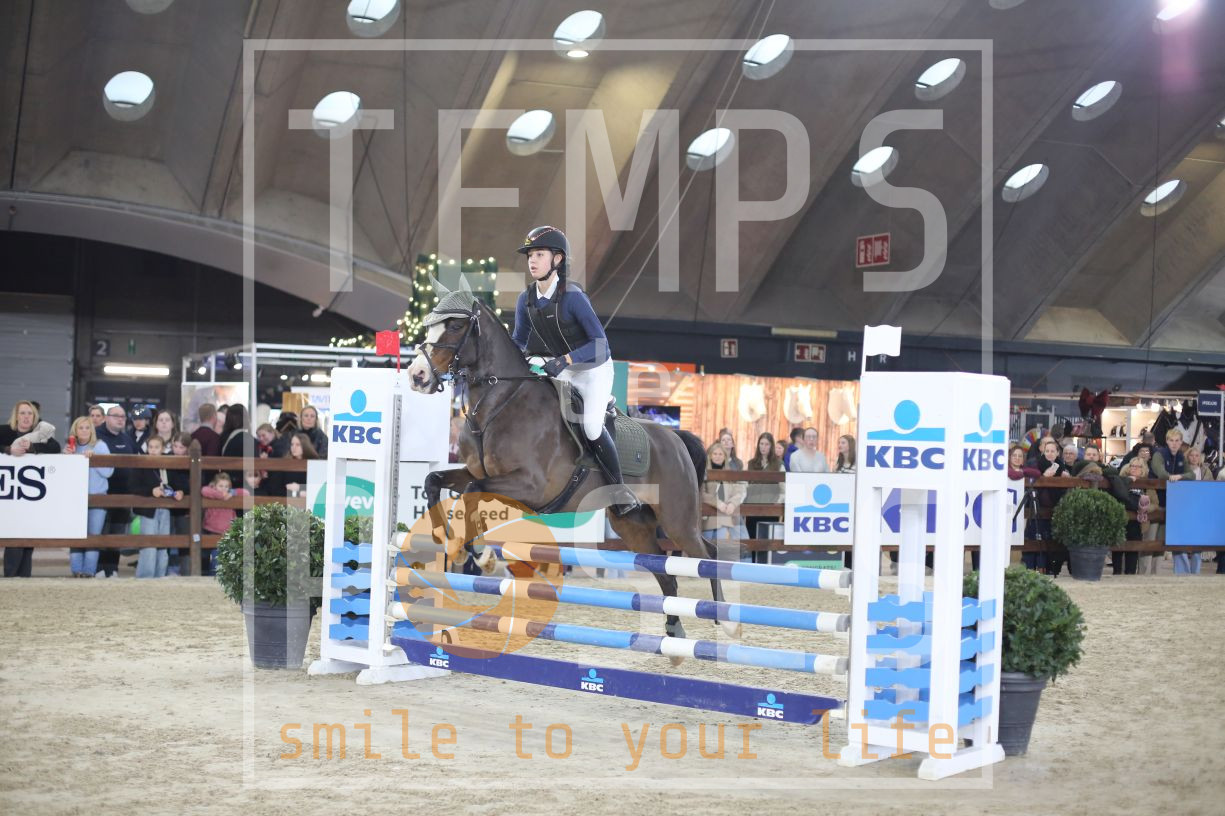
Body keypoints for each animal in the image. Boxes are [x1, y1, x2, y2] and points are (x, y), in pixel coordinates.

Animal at [406, 292, 740, 654]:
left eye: (455, 326)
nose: (417, 375)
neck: (500, 404)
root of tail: (677, 438)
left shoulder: (532, 485)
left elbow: (471, 494)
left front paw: (481, 556)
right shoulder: (475, 471)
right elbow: (435, 481)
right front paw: (445, 538)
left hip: (677, 520)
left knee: (707, 555)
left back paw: (725, 622)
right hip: (633, 526)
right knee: (667, 573)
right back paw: (673, 632)